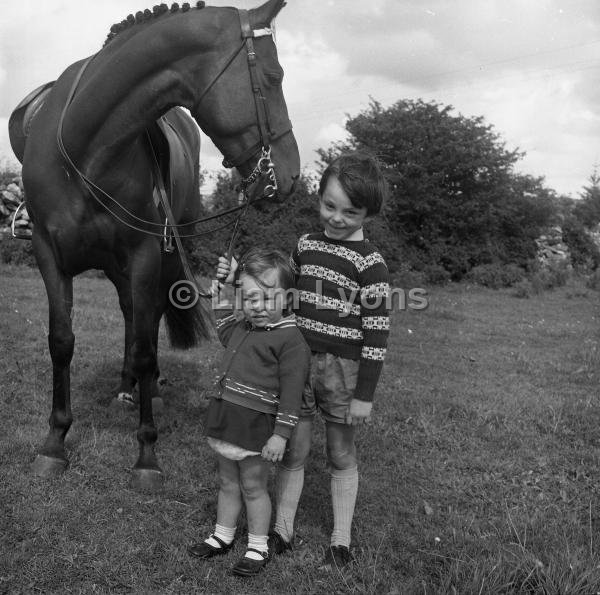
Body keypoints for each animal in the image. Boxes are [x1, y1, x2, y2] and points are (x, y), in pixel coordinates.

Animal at [9, 0, 300, 488]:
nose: (292, 173)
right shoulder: (50, 255)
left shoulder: (146, 255)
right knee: (130, 313)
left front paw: (147, 453)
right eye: (274, 77)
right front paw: (55, 442)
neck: (88, 150)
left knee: (147, 319)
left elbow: (147, 348)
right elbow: (61, 341)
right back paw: (125, 389)